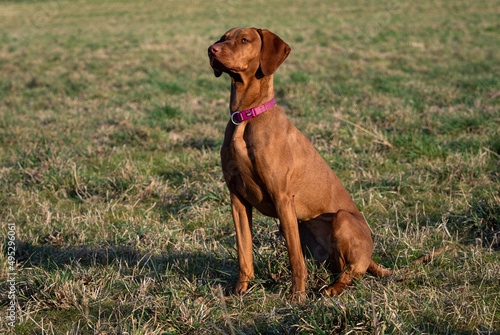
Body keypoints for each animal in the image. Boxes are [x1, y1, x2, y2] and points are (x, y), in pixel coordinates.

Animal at [206, 27, 390, 298]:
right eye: (222, 38)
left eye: (244, 40)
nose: (211, 49)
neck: (246, 117)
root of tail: (370, 255)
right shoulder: (237, 198)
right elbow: (244, 253)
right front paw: (240, 291)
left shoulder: (282, 197)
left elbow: (295, 259)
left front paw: (297, 296)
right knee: (339, 266)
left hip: (340, 219)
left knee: (351, 272)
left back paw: (331, 289)